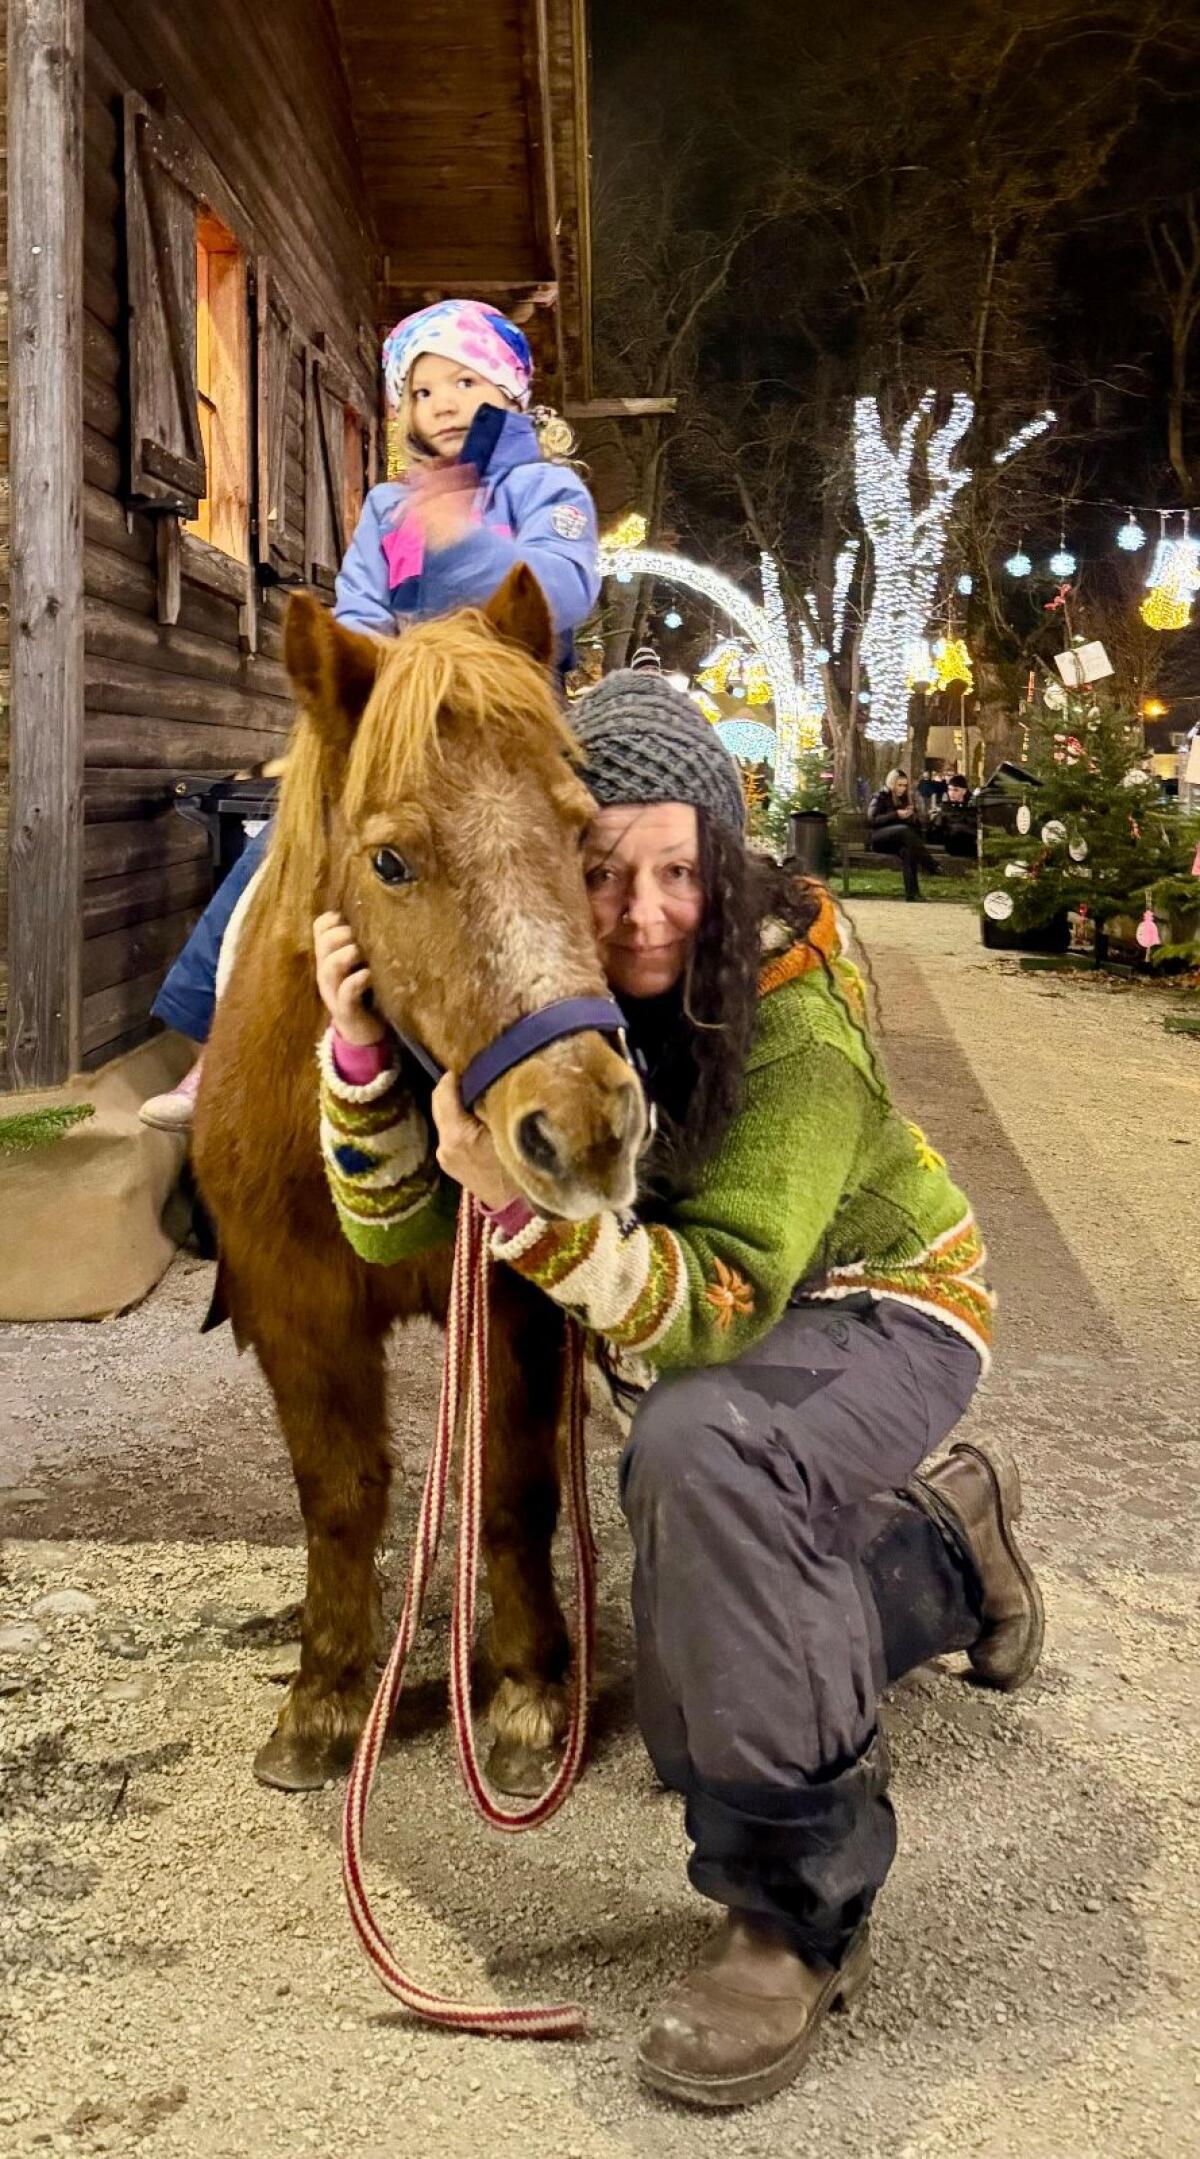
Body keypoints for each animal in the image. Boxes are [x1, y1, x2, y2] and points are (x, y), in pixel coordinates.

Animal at [192, 569, 646, 1795]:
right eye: (391, 862)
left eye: (581, 834)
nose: (585, 1127)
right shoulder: (295, 1308)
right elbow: (341, 1494)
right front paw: (326, 1694)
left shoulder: (515, 1308)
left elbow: (514, 1485)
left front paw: (530, 1689)